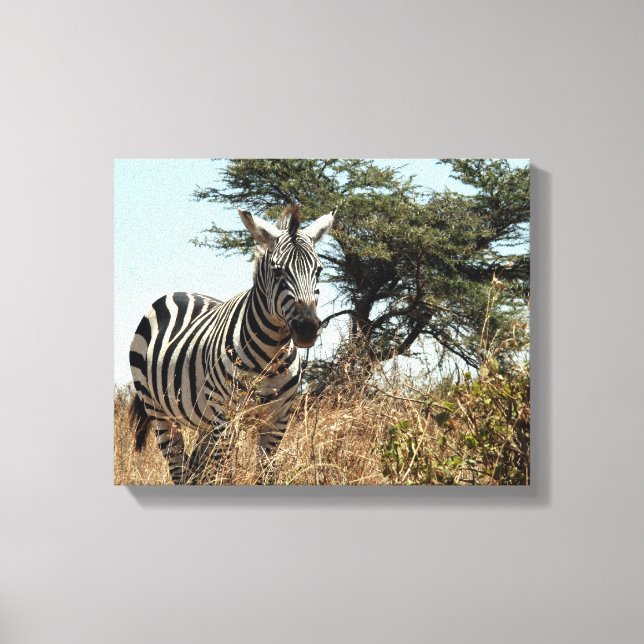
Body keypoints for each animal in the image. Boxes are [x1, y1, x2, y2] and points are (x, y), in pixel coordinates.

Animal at [128, 204, 334, 484]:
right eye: (278, 271)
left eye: (319, 271)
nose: (307, 328)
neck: (271, 356)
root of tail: (176, 293)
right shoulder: (225, 418)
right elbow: (225, 475)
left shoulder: (277, 421)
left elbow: (265, 475)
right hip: (159, 411)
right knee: (179, 467)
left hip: (204, 420)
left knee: (195, 469)